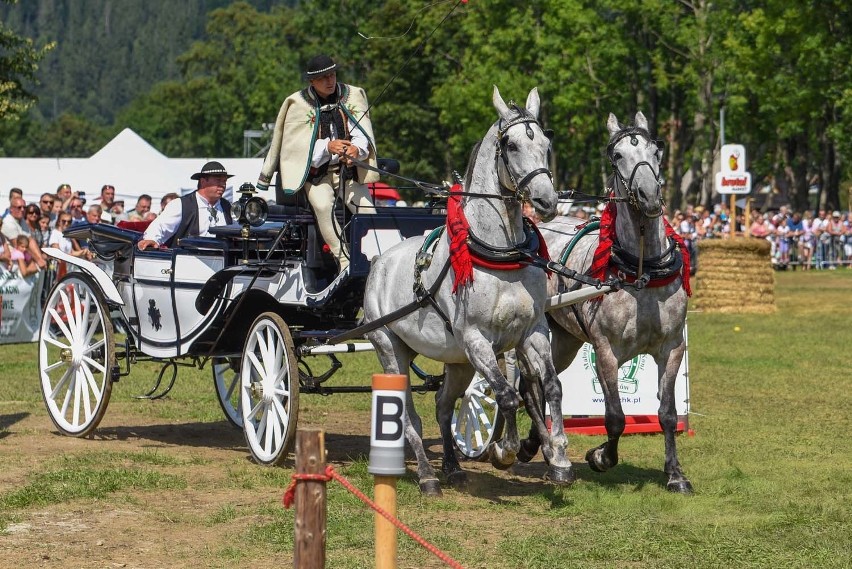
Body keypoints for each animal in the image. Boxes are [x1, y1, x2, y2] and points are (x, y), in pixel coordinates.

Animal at [362, 86, 576, 494]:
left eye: (545, 143)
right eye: (511, 145)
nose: (547, 201)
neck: (500, 256)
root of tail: (379, 263)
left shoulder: (532, 331)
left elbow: (552, 387)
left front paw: (558, 457)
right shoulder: (477, 338)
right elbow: (507, 396)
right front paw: (505, 451)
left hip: (457, 360)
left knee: (443, 405)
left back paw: (450, 465)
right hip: (390, 349)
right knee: (407, 413)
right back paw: (427, 475)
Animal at [524, 111, 692, 492]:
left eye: (656, 151)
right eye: (617, 156)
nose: (648, 195)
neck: (642, 269)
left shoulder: (672, 348)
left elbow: (667, 414)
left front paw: (675, 474)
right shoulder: (606, 351)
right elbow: (615, 416)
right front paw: (600, 457)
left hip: (564, 341)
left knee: (543, 384)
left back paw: (538, 443)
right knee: (530, 384)